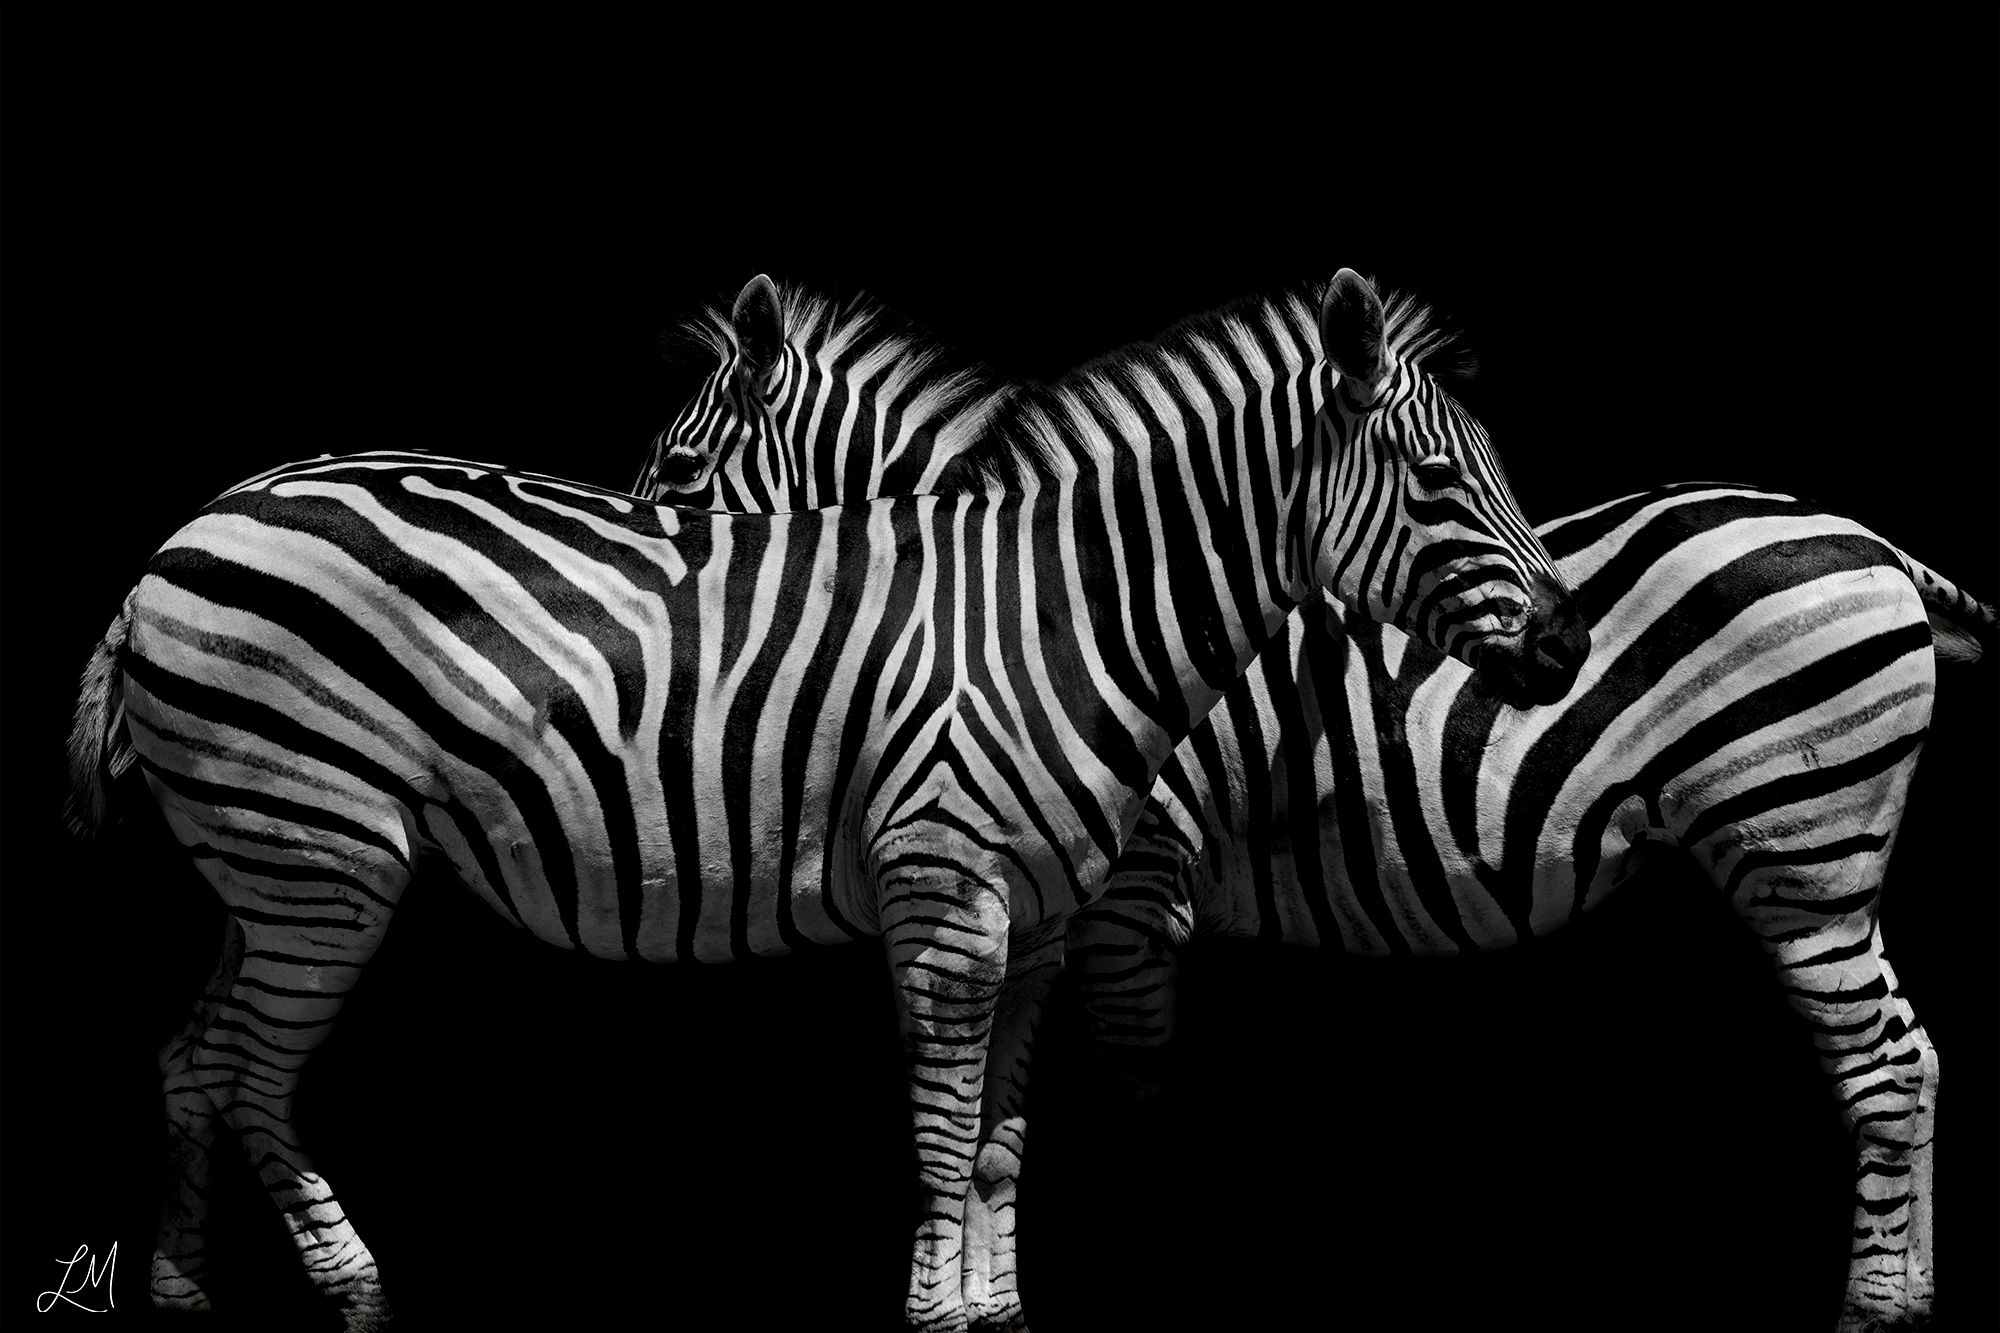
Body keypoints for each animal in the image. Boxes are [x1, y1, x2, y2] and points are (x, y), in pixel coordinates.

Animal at [65, 269, 1586, 1332]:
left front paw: (994, 1310)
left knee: (194, 1058)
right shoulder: (950, 893)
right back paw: (355, 1290)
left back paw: (185, 1295)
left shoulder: (1043, 920)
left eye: (1485, 474)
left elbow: (999, 1136)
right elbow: (943, 1119)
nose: (1569, 649)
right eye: (1440, 480)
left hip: (266, 868)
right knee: (248, 1072)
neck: (1055, 617)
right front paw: (935, 1317)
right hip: (324, 853)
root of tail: (180, 535)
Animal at [638, 274, 1995, 1331]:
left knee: (1879, 1061)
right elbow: (999, 1120)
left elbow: (1116, 1098)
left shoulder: (1134, 890)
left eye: (679, 473)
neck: (1046, 609)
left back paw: (1871, 1313)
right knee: (1914, 1052)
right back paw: (1914, 1292)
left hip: (1801, 845)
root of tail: (1872, 542)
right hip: (1828, 858)